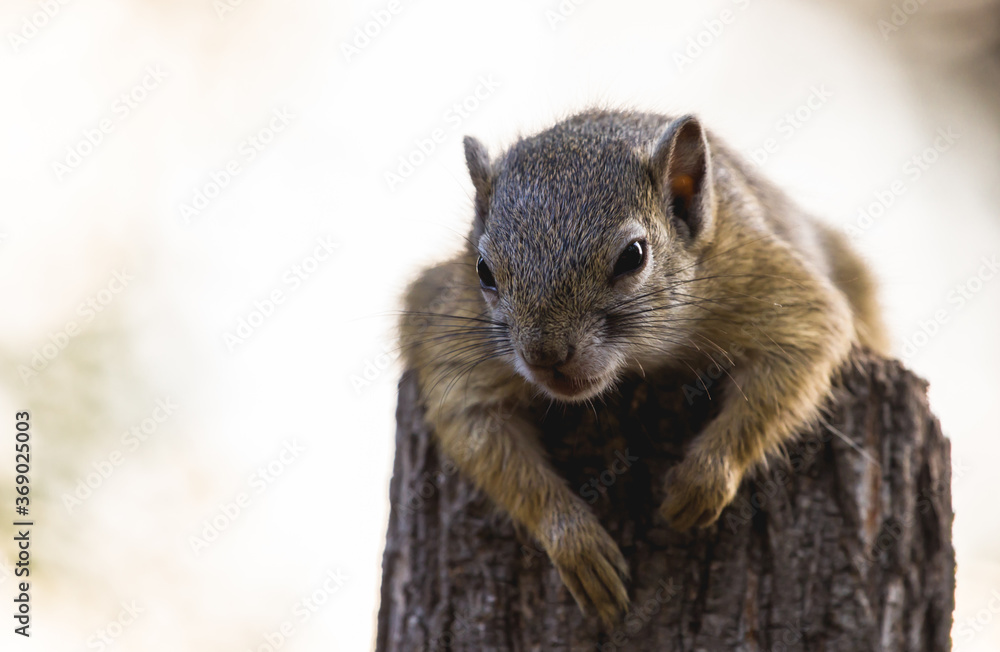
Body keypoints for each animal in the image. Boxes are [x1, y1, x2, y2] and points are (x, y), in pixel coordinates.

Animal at [399, 109, 887, 626]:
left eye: (633, 256)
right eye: (483, 271)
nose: (544, 357)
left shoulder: (768, 284)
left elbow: (800, 354)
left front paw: (699, 484)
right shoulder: (453, 343)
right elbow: (476, 427)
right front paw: (577, 546)